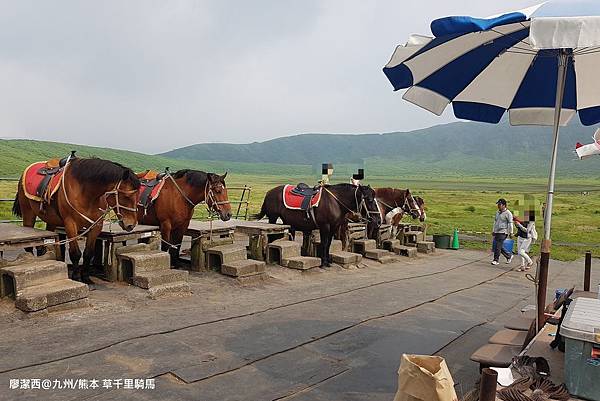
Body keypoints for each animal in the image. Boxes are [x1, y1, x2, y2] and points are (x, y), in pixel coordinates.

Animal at [14, 156, 142, 282]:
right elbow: (75, 253)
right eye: (126, 196)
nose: (131, 225)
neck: (86, 192)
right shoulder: (70, 225)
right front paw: (76, 276)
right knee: (28, 246)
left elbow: (88, 253)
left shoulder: (96, 226)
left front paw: (86, 277)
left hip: (51, 220)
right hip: (28, 214)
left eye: (138, 195)